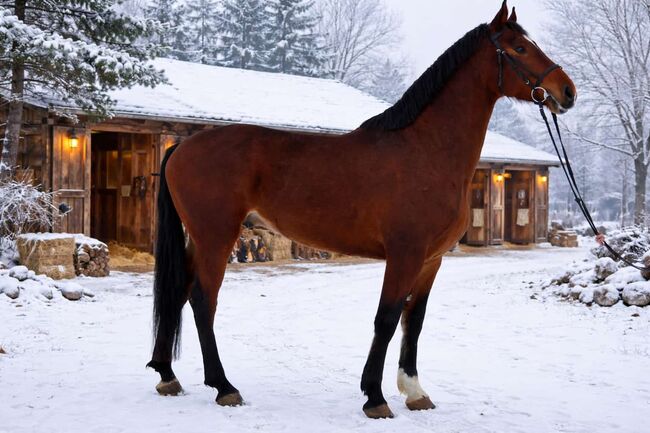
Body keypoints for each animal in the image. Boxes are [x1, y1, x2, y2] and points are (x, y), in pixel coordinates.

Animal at [146, 1, 576, 419]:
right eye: (519, 48)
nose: (567, 91)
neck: (426, 151)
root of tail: (181, 146)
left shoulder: (431, 260)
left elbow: (413, 321)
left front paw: (415, 392)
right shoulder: (404, 254)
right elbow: (386, 319)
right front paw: (375, 396)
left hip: (200, 239)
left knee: (178, 292)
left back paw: (167, 375)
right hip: (216, 237)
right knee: (203, 300)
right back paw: (224, 386)